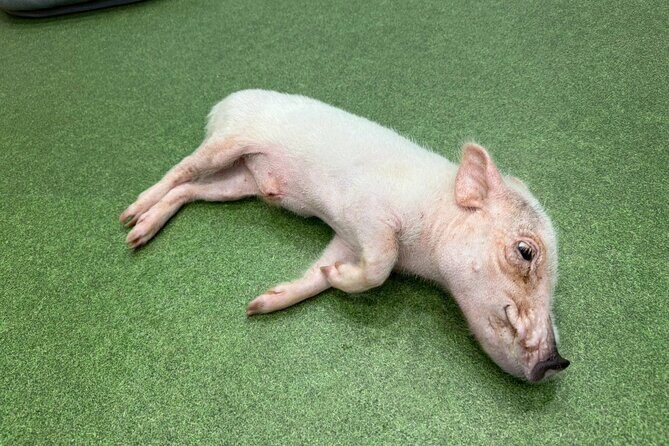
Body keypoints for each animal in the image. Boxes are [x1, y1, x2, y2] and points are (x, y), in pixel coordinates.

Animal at [119, 89, 570, 382]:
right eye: (526, 251)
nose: (558, 362)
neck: (424, 253)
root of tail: (225, 101)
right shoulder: (366, 214)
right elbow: (380, 265)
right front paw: (337, 278)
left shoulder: (346, 238)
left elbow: (316, 274)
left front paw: (261, 304)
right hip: (227, 143)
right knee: (181, 170)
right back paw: (130, 220)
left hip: (239, 181)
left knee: (190, 191)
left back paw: (140, 234)